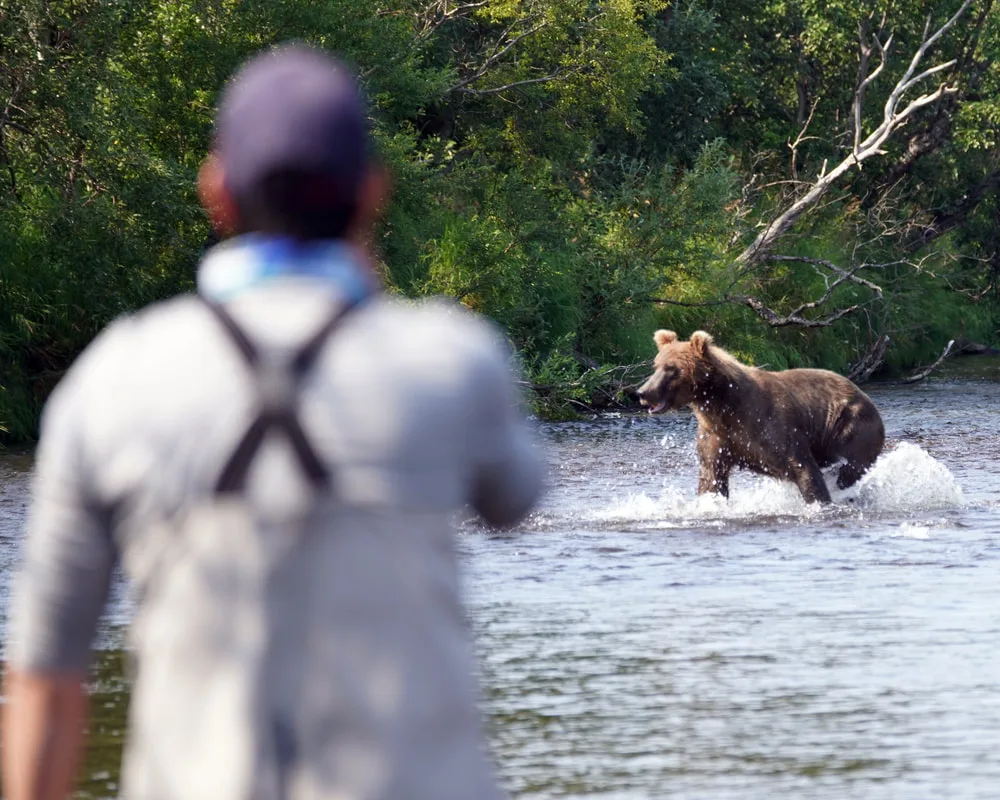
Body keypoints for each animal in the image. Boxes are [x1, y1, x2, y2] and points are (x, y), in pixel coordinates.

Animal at [636, 330, 885, 504]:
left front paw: (819, 501)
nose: (643, 392)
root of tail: (867, 399)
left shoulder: (772, 426)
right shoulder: (716, 436)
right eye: (656, 365)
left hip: (850, 428)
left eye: (671, 368)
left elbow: (804, 469)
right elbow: (712, 477)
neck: (723, 406)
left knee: (850, 469)